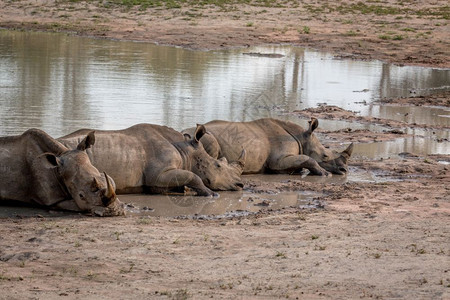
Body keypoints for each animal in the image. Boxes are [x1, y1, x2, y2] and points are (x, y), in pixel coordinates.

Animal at [58, 123, 246, 196]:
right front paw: (210, 193)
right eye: (218, 165)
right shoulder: (158, 174)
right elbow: (194, 176)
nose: (240, 185)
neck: (186, 153)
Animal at [182, 118, 352, 176]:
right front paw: (324, 173)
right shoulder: (277, 161)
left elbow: (303, 160)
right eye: (325, 155)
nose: (344, 170)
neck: (302, 137)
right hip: (202, 137)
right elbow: (308, 158)